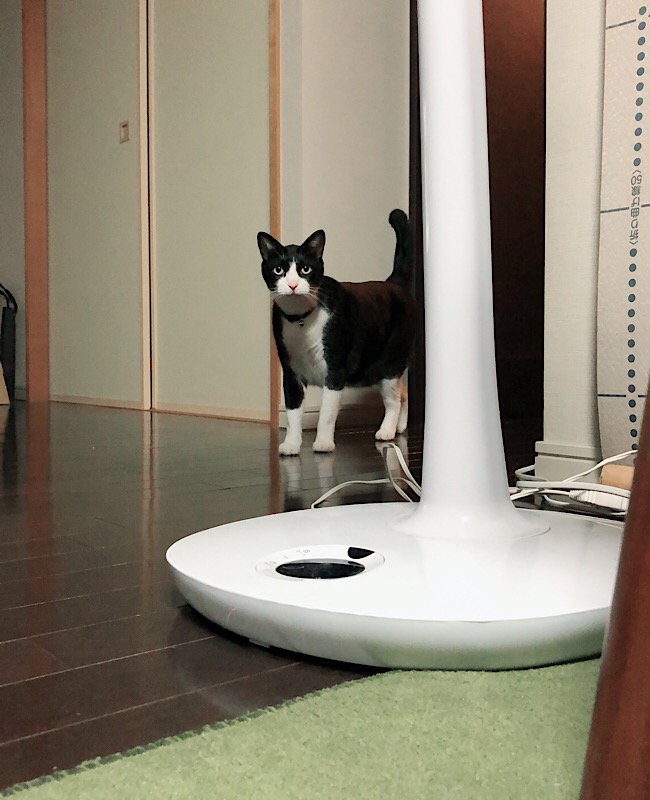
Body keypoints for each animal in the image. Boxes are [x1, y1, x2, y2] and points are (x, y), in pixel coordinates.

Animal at [258, 209, 416, 456]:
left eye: (305, 269)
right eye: (278, 269)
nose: (292, 285)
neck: (301, 318)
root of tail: (394, 283)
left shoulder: (335, 371)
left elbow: (326, 413)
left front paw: (323, 443)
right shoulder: (290, 371)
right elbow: (293, 412)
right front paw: (291, 445)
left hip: (389, 361)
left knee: (393, 398)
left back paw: (387, 431)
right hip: (373, 370)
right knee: (403, 392)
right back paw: (400, 427)